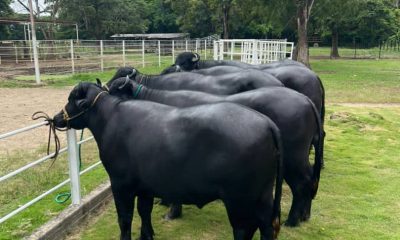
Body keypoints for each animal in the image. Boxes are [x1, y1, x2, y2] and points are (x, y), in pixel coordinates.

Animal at [54, 81, 284, 239]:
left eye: (71, 99)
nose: (56, 118)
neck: (110, 119)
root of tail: (266, 123)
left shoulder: (120, 185)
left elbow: (125, 218)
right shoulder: (145, 187)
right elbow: (144, 212)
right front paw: (147, 235)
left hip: (239, 200)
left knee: (244, 228)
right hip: (263, 195)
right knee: (266, 225)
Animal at [109, 77, 322, 227]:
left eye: (114, 91)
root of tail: (304, 99)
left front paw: (172, 211)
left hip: (294, 160)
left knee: (302, 184)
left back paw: (292, 220)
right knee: (311, 178)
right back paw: (305, 215)